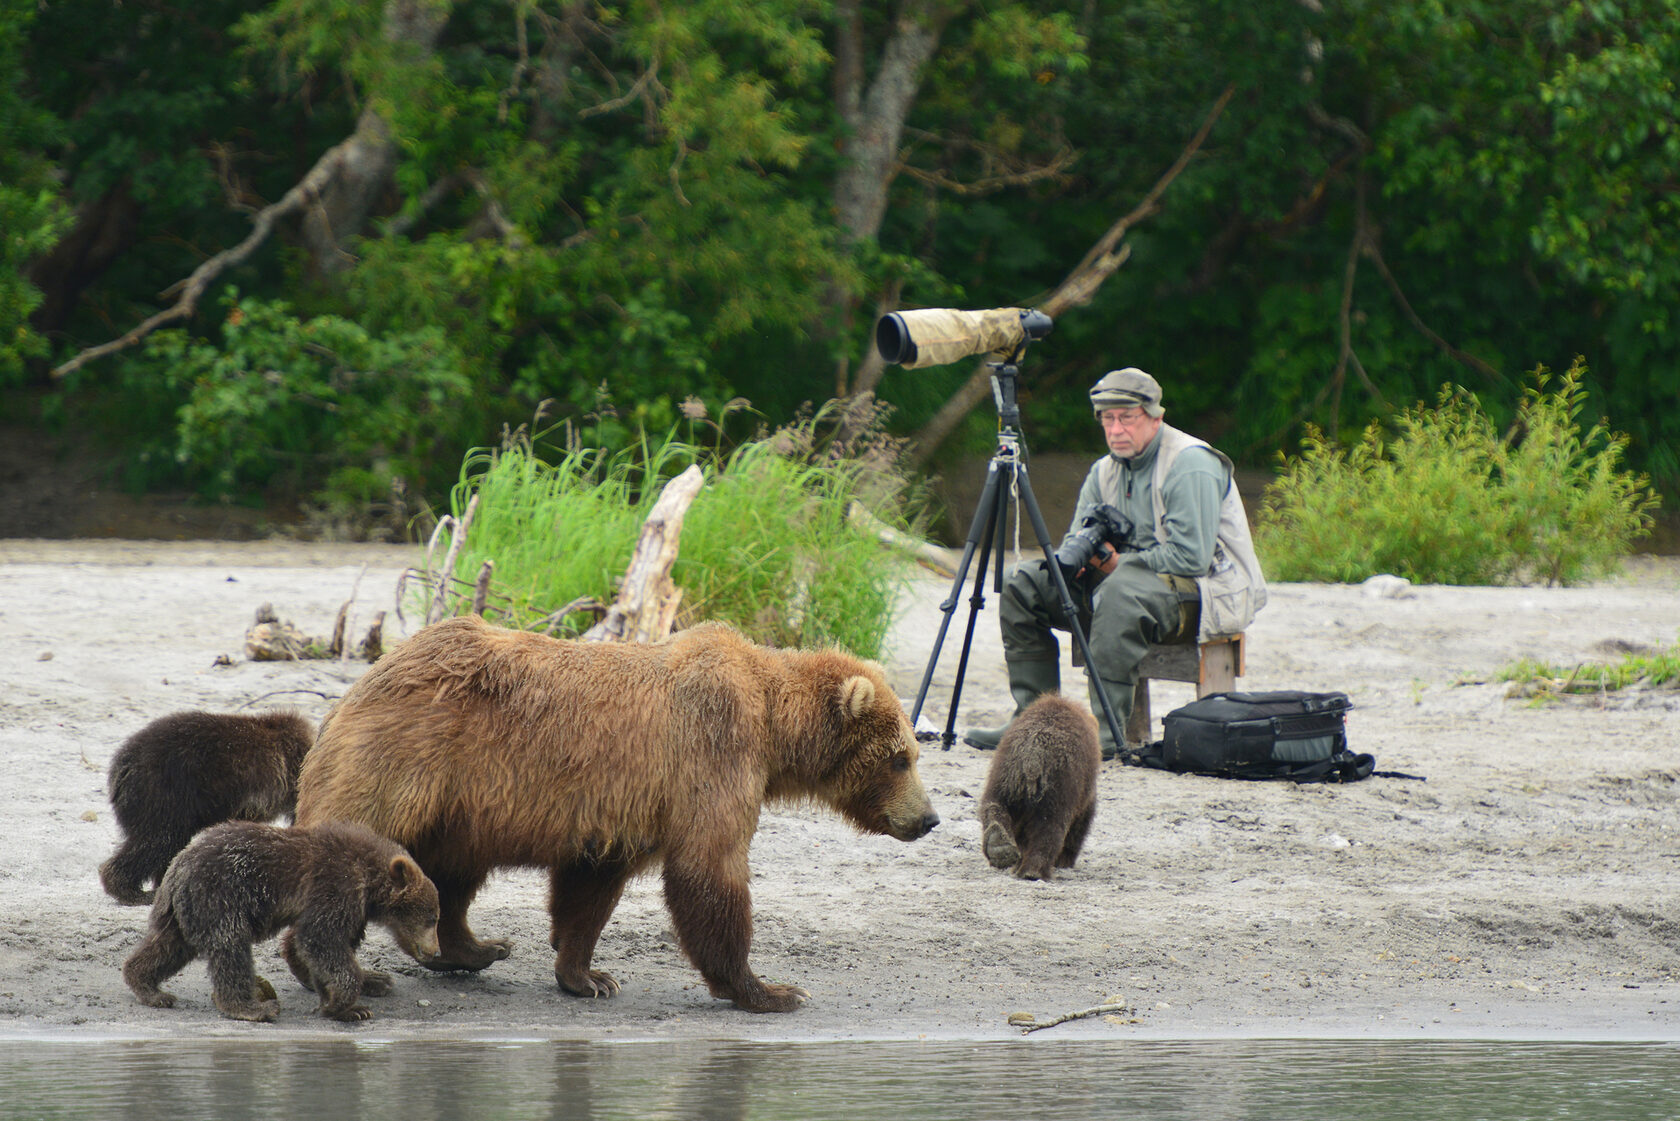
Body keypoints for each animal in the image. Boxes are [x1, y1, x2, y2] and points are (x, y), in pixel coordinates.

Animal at [294, 618, 940, 1015]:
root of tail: (360, 685)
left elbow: (590, 890)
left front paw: (589, 977)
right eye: (901, 757)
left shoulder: (616, 814)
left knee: (451, 877)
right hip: (405, 764)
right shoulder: (714, 754)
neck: (773, 725)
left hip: (460, 806)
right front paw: (771, 989)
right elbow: (710, 871)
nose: (930, 818)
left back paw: (476, 949)